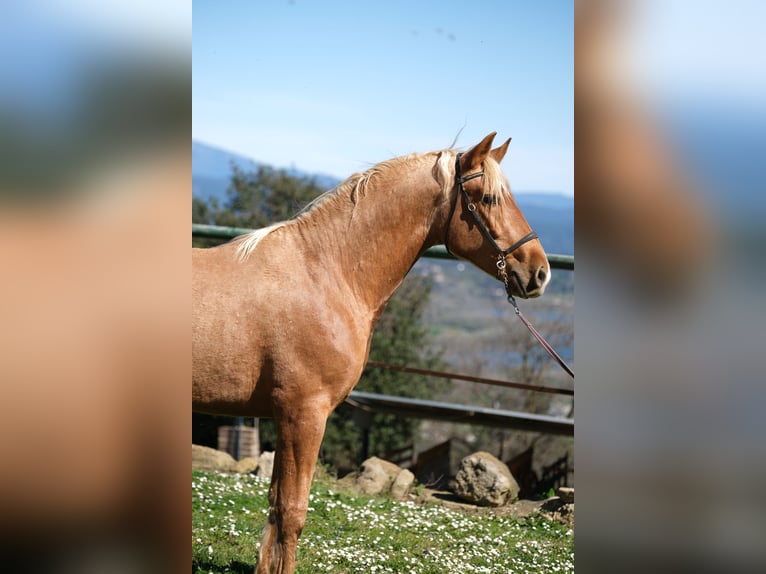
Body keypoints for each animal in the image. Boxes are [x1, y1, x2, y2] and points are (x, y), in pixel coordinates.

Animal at [192, 132, 550, 573]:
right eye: (488, 198)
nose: (540, 272)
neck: (327, 275)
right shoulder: (304, 415)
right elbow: (292, 511)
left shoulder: (286, 418)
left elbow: (276, 506)